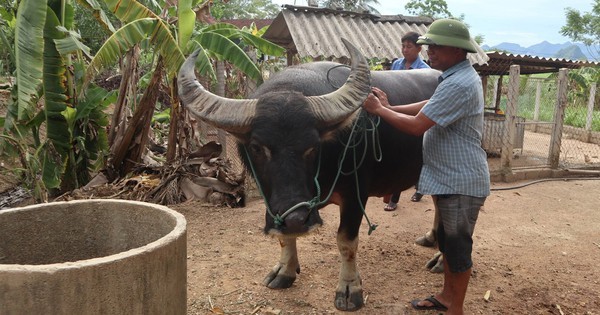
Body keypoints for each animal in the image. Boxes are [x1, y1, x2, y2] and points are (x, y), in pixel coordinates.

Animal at [178, 39, 440, 312]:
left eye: (313, 146)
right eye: (257, 147)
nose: (296, 218)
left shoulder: (356, 195)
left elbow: (346, 242)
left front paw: (349, 289)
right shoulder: (273, 199)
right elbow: (284, 237)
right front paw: (285, 270)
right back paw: (432, 239)